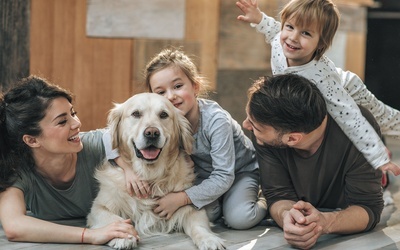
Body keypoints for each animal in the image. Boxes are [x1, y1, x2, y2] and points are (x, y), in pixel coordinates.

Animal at [87, 93, 223, 249]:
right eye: (136, 114)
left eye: (163, 114)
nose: (152, 133)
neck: (150, 176)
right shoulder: (98, 207)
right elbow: (113, 218)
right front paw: (122, 236)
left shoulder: (189, 206)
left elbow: (198, 225)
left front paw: (209, 239)